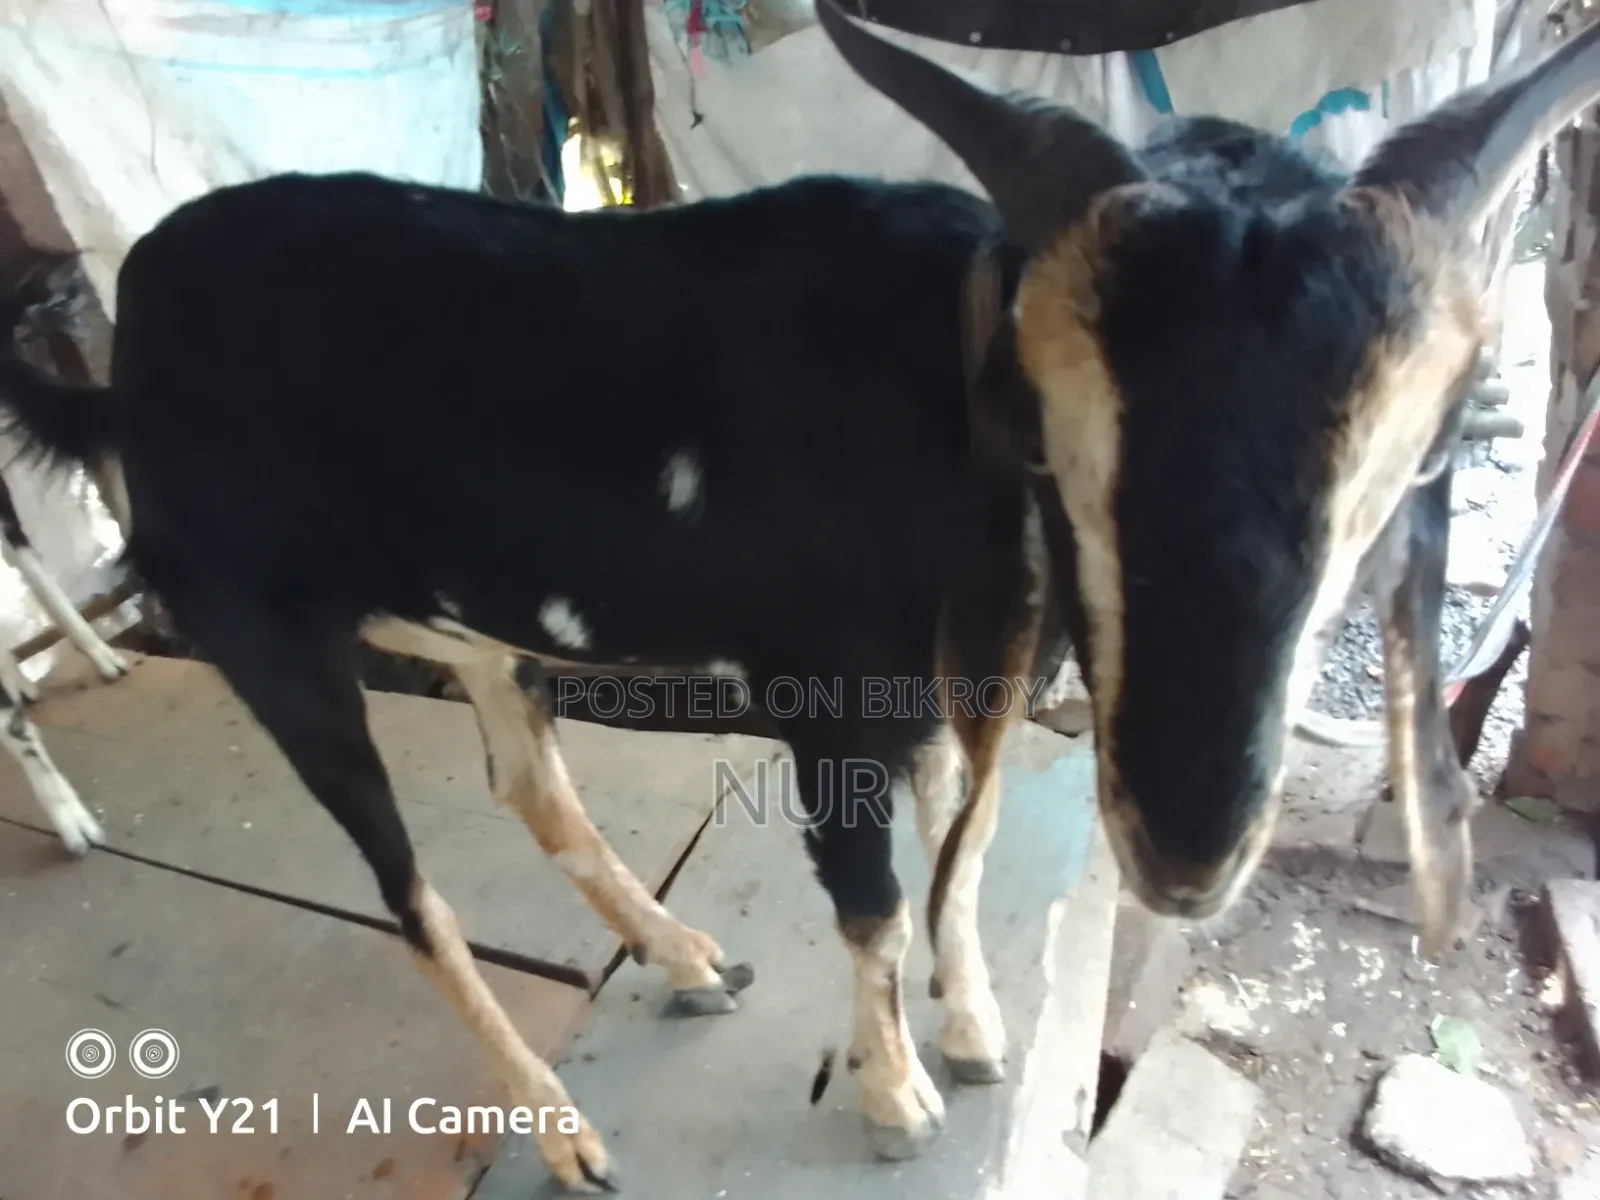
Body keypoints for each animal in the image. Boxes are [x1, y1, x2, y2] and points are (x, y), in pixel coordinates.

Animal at [0, 175, 1074, 1188]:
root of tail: (123, 369)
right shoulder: (825, 691)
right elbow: (878, 906)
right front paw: (898, 1102)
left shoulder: (940, 685)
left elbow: (964, 848)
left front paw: (972, 1031)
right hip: (267, 637)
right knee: (414, 901)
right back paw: (567, 1135)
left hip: (466, 620)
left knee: (530, 789)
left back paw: (682, 956)